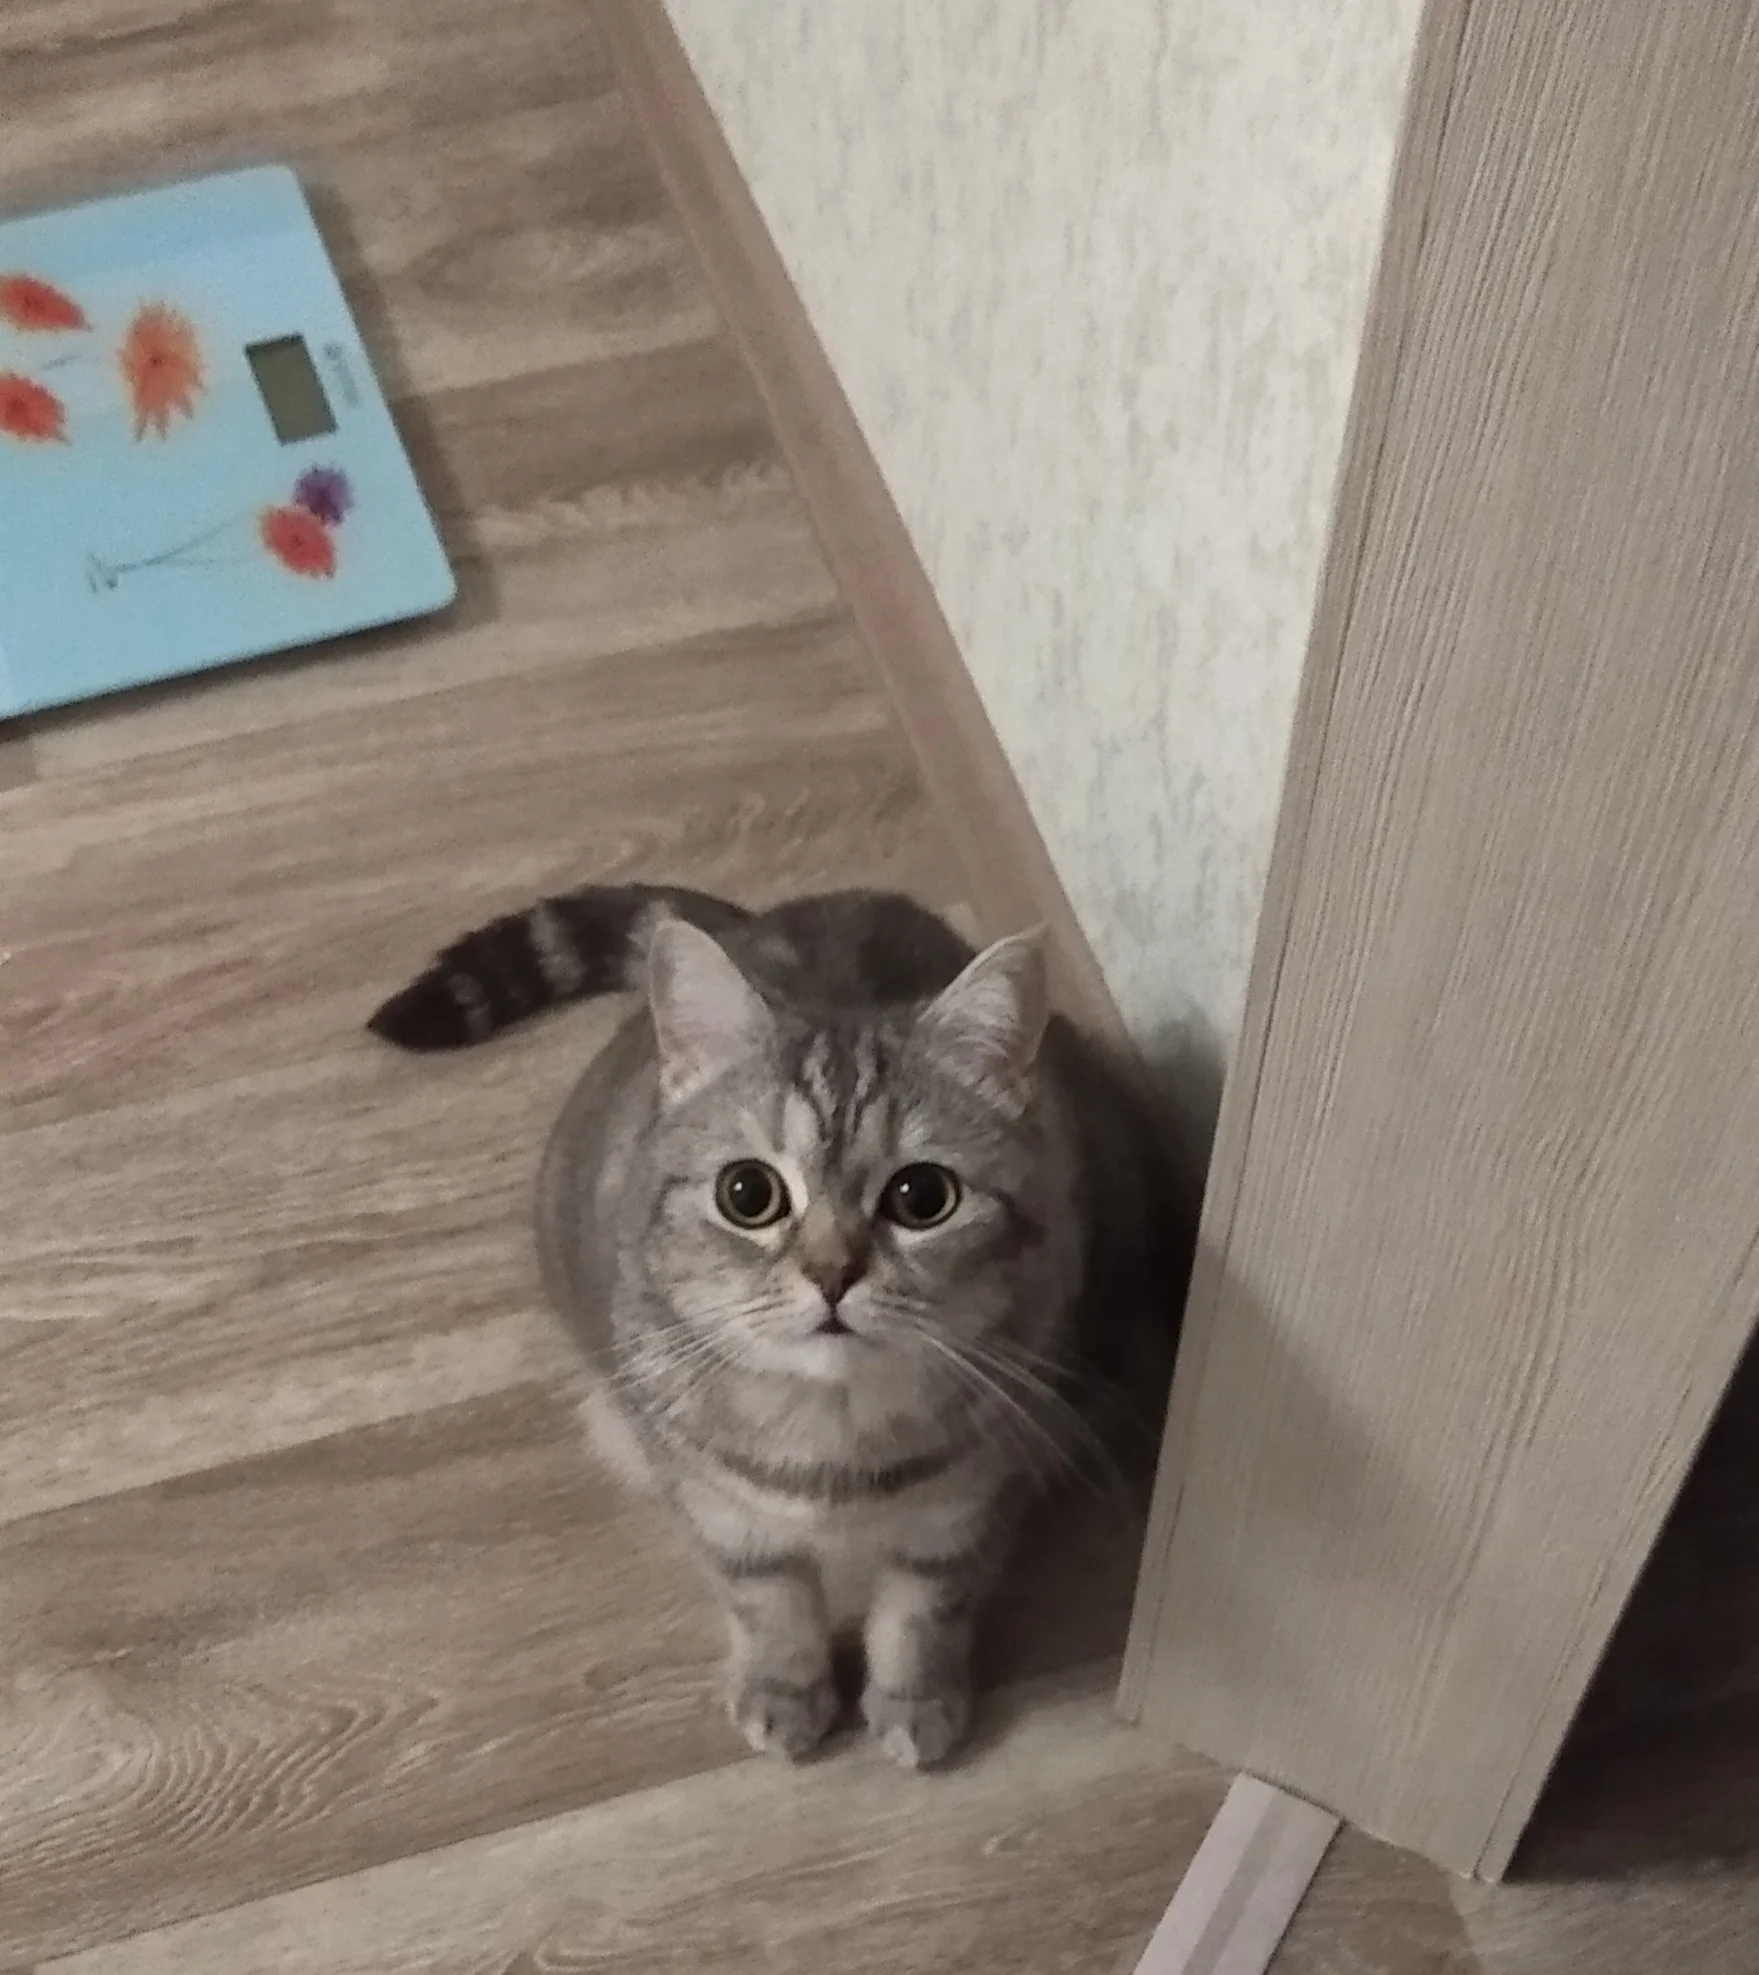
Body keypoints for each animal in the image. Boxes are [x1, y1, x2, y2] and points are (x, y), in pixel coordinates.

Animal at [369, 885, 1188, 1767]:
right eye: (747, 1193)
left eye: (922, 1197)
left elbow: (922, 1608)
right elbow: (770, 1604)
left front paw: (914, 1700)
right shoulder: (722, 1510)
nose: (831, 1273)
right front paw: (785, 1693)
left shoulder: (967, 1502)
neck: (831, 1436)